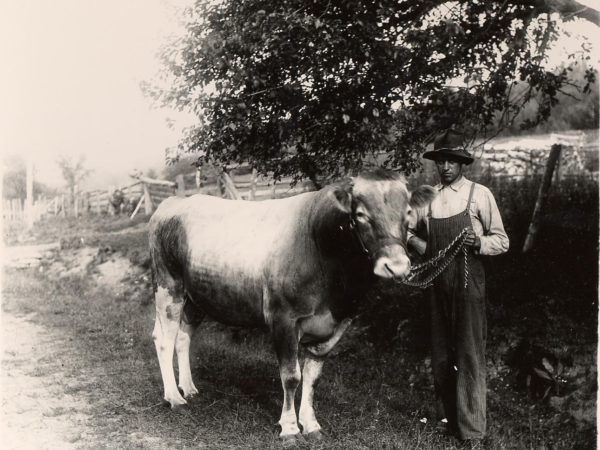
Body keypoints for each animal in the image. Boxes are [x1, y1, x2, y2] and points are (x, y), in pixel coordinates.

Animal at [148, 169, 434, 440]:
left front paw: (311, 424)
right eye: (361, 214)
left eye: (408, 212)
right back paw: (174, 397)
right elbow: (291, 376)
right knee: (163, 339)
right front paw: (289, 428)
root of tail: (173, 203)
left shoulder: (336, 325)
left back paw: (189, 388)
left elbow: (312, 378)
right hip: (168, 286)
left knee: (183, 337)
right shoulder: (283, 318)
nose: (396, 266)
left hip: (197, 296)